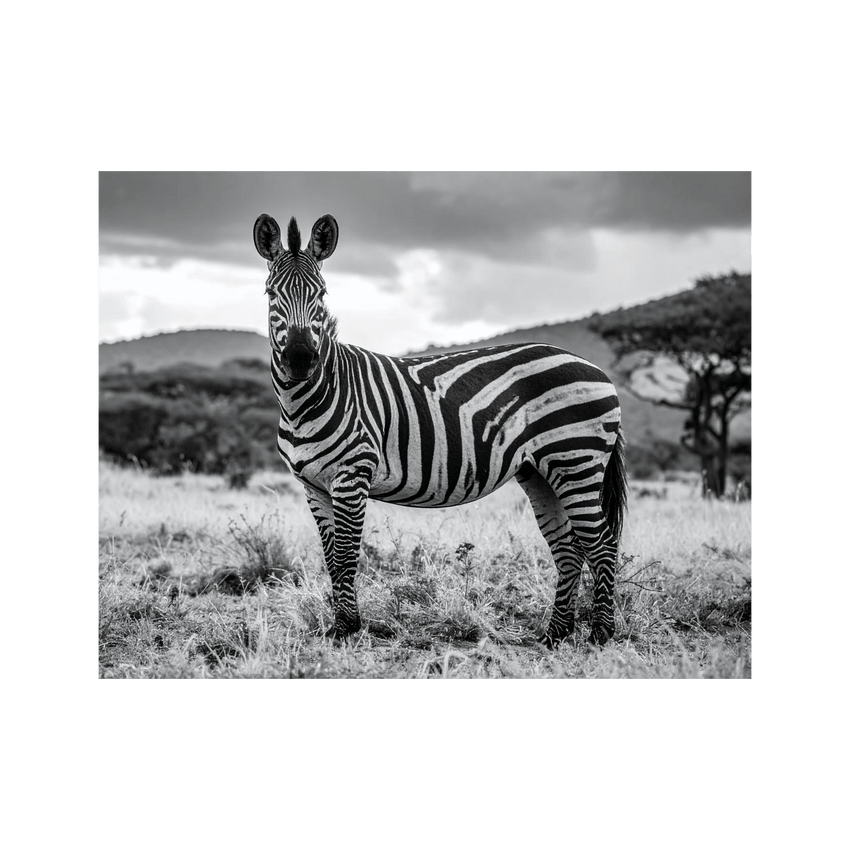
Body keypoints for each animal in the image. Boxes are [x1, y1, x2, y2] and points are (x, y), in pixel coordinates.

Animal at [253, 212, 628, 646]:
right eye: (270, 294)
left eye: (322, 294)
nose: (300, 359)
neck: (307, 400)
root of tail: (595, 369)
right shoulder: (313, 485)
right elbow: (331, 558)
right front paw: (340, 625)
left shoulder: (352, 475)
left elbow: (346, 557)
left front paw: (347, 629)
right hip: (540, 473)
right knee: (569, 550)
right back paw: (555, 634)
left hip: (577, 461)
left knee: (602, 544)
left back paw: (601, 633)